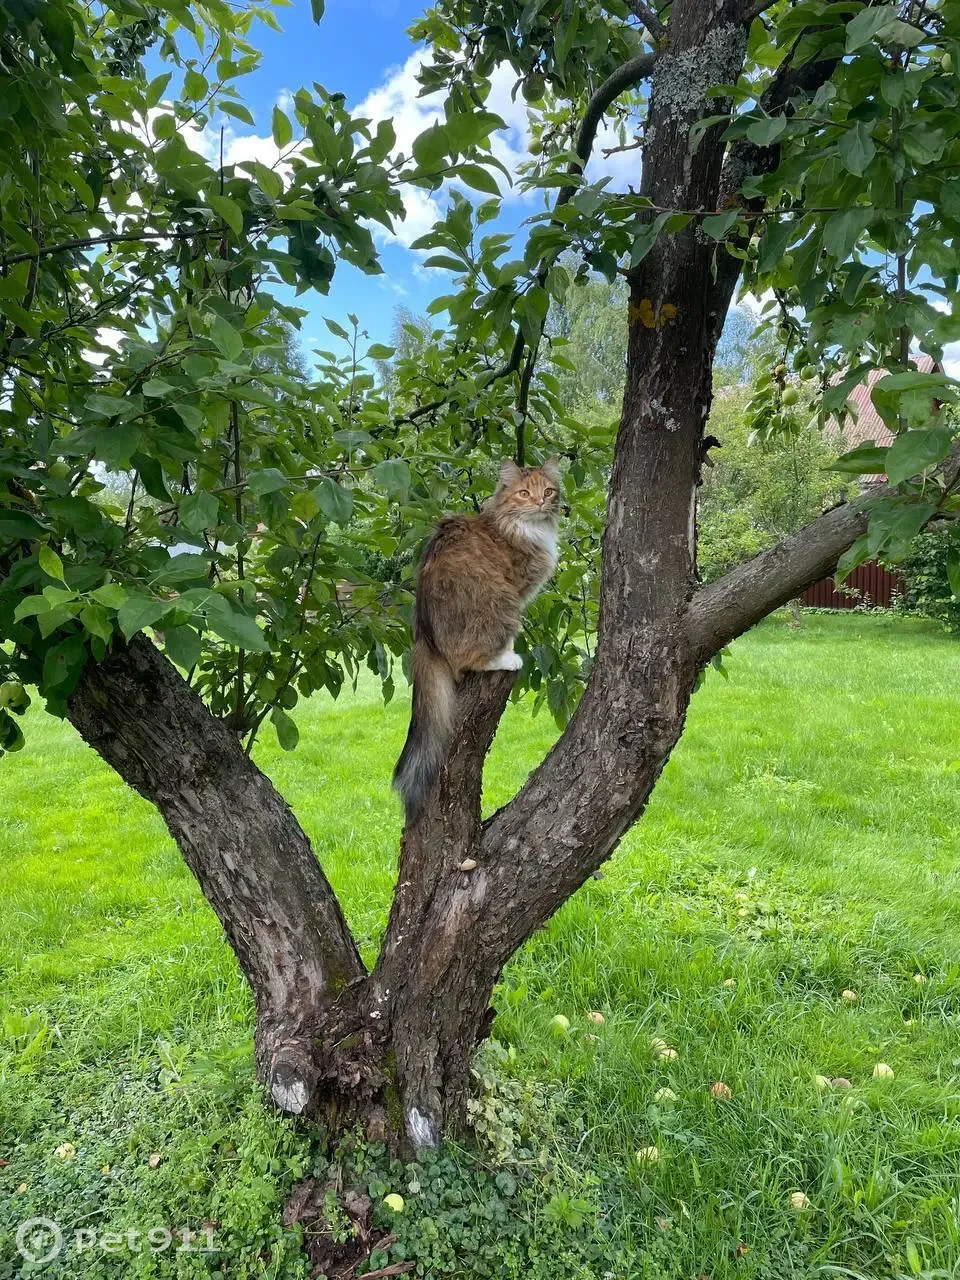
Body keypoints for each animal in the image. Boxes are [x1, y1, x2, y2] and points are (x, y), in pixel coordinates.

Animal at [391, 460, 563, 819]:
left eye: (548, 491)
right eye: (524, 493)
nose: (540, 502)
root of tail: (424, 635)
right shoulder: (518, 593)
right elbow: (509, 638)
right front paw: (511, 652)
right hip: (501, 606)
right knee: (473, 658)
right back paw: (506, 660)